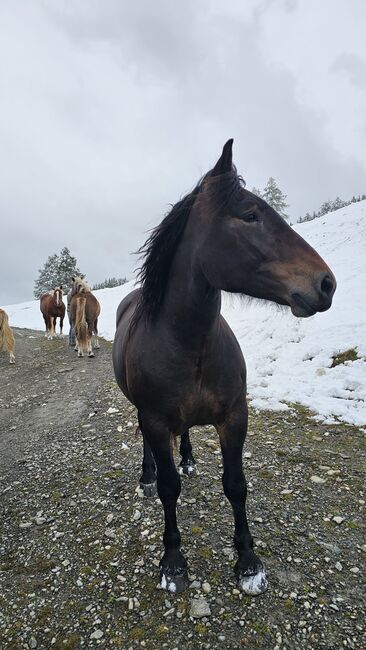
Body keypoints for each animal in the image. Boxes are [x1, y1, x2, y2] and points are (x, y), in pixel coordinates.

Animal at [113, 140, 336, 592]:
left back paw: (189, 458)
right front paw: (173, 562)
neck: (190, 343)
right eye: (250, 215)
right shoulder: (156, 420)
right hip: (143, 414)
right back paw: (146, 476)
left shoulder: (235, 417)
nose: (326, 284)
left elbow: (236, 485)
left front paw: (248, 562)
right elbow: (169, 488)